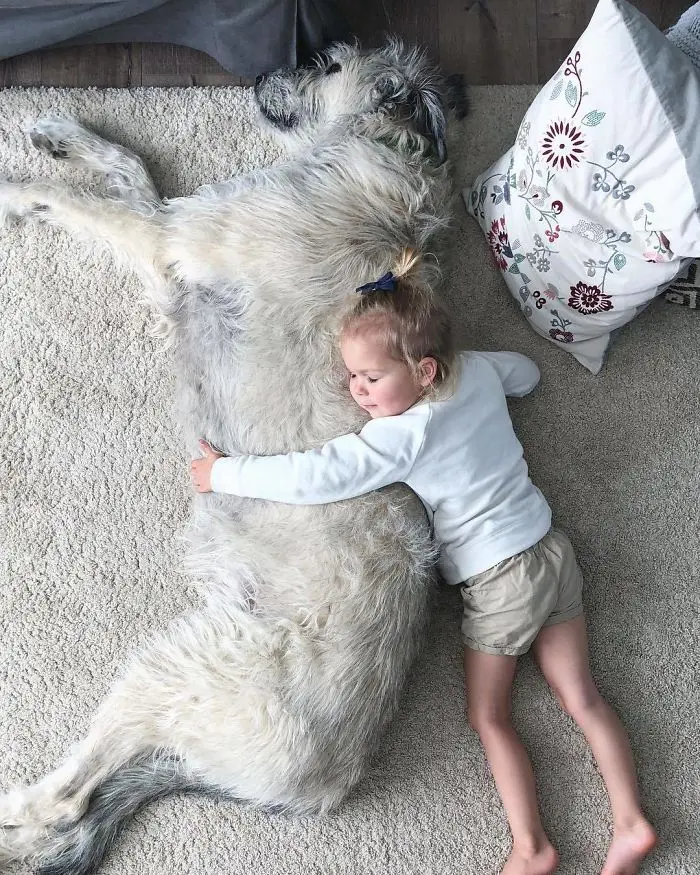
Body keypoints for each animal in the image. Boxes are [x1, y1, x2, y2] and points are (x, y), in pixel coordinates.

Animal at [0, 41, 456, 875]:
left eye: (330, 61)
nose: (264, 70)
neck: (383, 153)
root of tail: (321, 787)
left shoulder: (168, 238)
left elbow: (77, 200)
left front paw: (16, 189)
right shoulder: (172, 228)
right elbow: (129, 166)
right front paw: (62, 135)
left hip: (176, 666)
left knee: (66, 802)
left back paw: (10, 811)